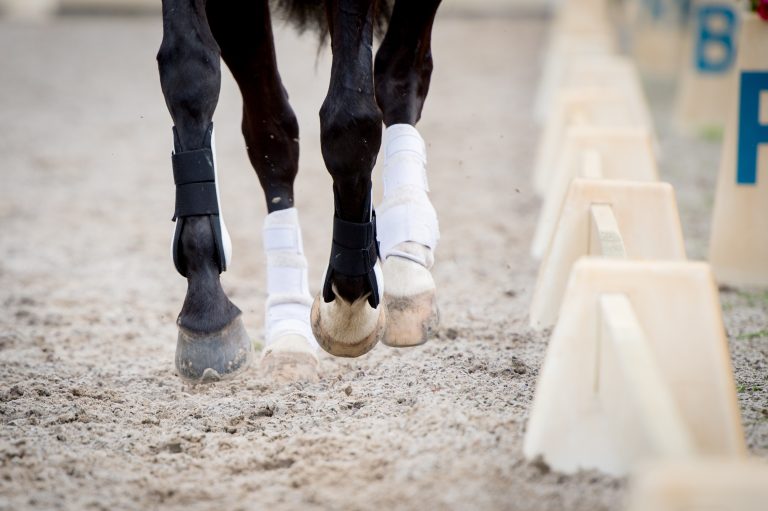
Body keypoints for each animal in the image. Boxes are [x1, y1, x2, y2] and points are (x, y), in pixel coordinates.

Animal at [158, 0, 442, 383]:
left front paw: (349, 305)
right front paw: (207, 310)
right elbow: (193, 72)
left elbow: (350, 119)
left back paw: (407, 269)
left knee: (399, 70)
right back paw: (289, 334)